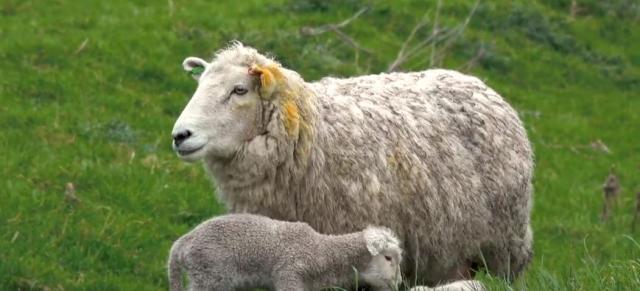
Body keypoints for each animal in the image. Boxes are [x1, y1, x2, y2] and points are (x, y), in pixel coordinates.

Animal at [168, 213, 402, 290]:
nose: (398, 283)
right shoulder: (289, 274)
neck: (321, 250)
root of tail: (182, 243)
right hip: (209, 276)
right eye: (388, 258)